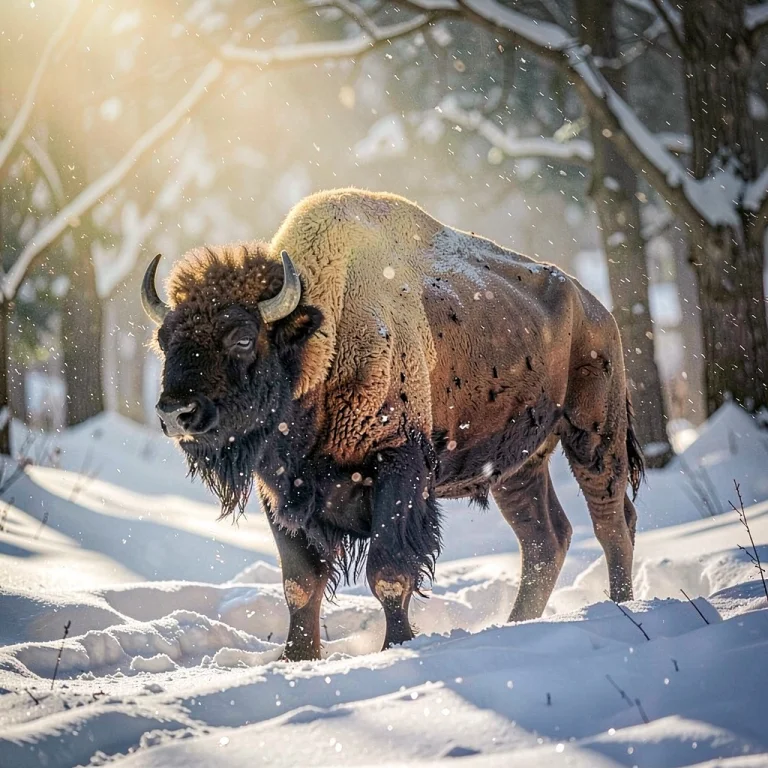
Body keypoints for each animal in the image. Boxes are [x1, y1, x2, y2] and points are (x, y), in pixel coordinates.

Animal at [142, 188, 643, 661]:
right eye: (164, 341)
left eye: (243, 338)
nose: (175, 413)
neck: (322, 337)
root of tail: (595, 308)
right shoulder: (279, 489)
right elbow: (299, 584)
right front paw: (296, 659)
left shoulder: (398, 467)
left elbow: (389, 573)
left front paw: (396, 646)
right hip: (519, 467)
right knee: (544, 539)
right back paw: (519, 624)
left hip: (594, 435)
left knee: (611, 521)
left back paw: (621, 609)